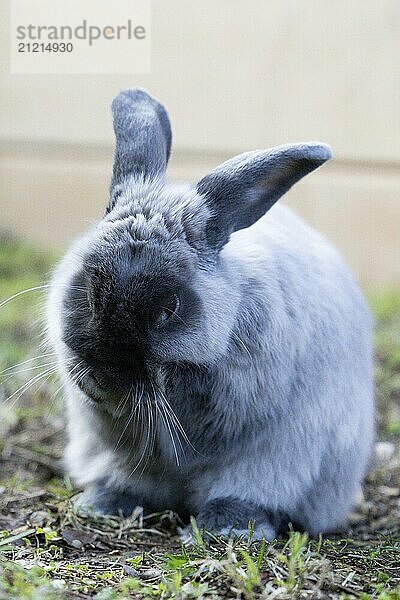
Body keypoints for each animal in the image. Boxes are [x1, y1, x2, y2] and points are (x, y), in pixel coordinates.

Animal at [47, 88, 376, 540]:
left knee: (252, 494)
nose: (104, 373)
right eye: (91, 292)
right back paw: (103, 503)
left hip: (279, 461)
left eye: (169, 309)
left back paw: (225, 526)